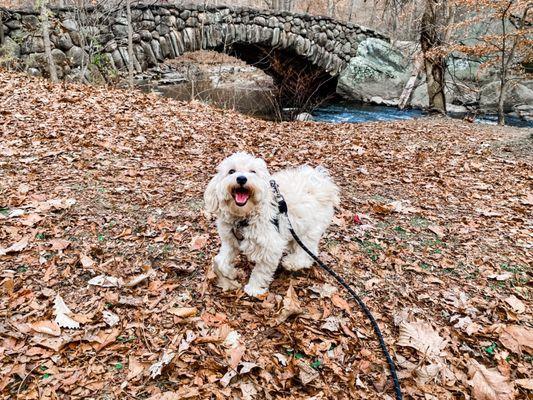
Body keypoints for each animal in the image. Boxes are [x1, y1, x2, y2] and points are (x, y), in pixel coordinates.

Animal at [204, 153, 340, 296]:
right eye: (231, 171)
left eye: (253, 172)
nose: (241, 178)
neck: (244, 218)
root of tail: (322, 184)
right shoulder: (230, 242)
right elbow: (219, 261)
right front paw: (231, 273)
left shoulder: (270, 248)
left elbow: (260, 272)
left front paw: (254, 288)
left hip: (309, 231)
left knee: (308, 253)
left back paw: (290, 262)